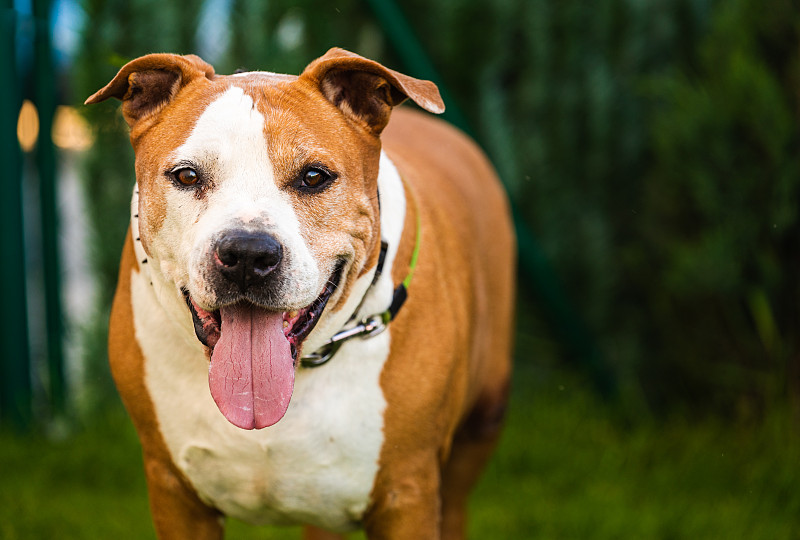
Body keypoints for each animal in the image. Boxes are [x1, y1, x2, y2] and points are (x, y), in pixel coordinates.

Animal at [86, 47, 512, 540]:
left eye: (313, 177)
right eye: (188, 176)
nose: (247, 253)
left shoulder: (407, 494)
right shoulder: (174, 493)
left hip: (480, 425)